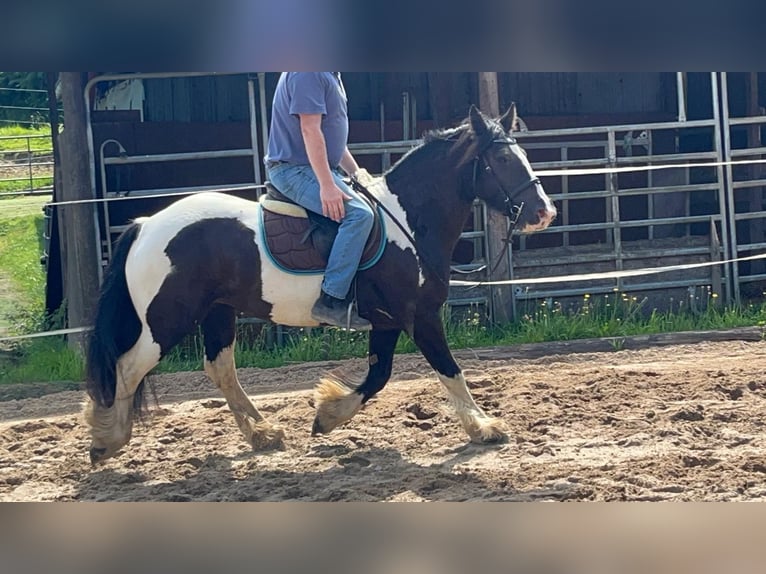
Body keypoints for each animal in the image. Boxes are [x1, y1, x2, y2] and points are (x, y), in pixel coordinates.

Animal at [85, 102, 560, 464]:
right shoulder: (420, 316)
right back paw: (107, 441)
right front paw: (484, 427)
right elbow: (450, 369)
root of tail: (146, 226)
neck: (406, 221)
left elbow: (379, 376)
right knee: (127, 368)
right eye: (503, 160)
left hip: (218, 313)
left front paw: (328, 415)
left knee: (220, 369)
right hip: (166, 322)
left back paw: (263, 435)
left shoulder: (387, 321)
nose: (544, 212)